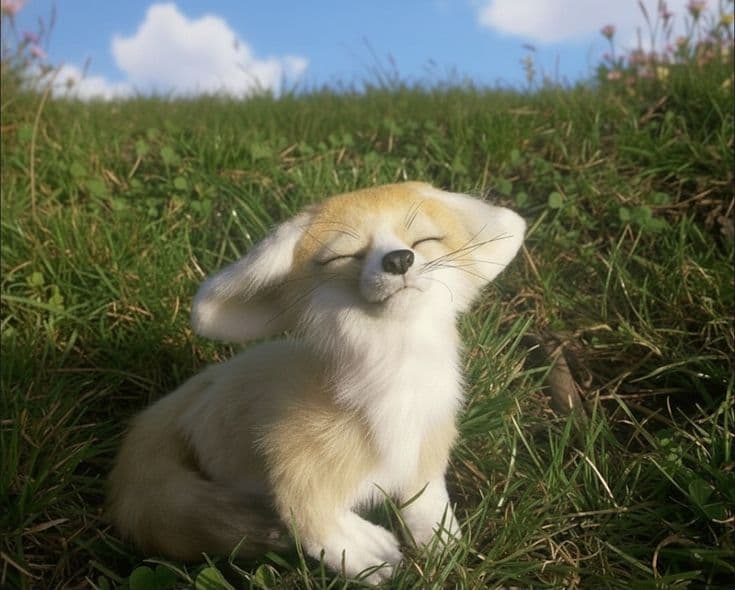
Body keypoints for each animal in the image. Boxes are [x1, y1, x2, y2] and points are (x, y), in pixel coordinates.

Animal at [107, 181, 526, 582]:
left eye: (423, 240)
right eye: (345, 256)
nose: (399, 259)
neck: (395, 389)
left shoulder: (426, 443)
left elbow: (426, 498)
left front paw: (439, 538)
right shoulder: (288, 454)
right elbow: (307, 513)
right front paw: (360, 551)